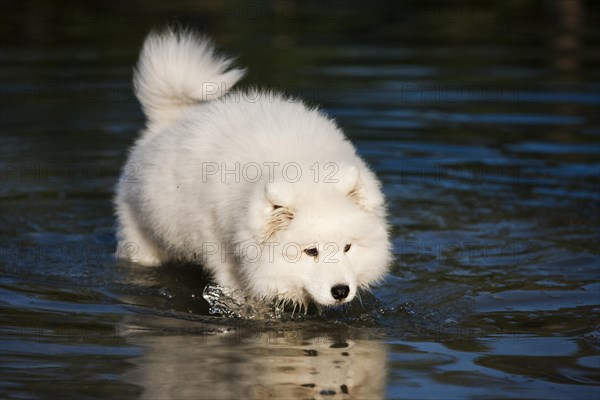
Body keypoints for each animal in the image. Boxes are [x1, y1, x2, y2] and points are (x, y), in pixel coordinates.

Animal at [115, 29, 392, 308]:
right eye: (311, 251)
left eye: (347, 248)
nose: (341, 291)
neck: (298, 162)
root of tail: (171, 118)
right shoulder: (225, 255)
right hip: (142, 238)